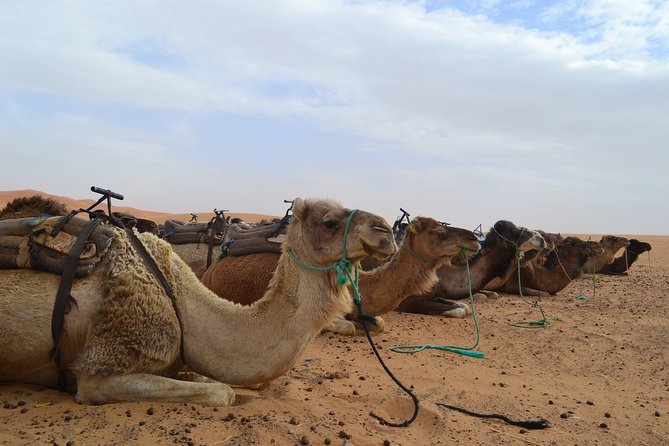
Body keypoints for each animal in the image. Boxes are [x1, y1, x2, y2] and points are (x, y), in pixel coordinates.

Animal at [395, 220, 546, 316]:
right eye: (514, 230)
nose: (541, 238)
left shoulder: (436, 294)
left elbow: (463, 306)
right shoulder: (408, 301)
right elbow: (460, 310)